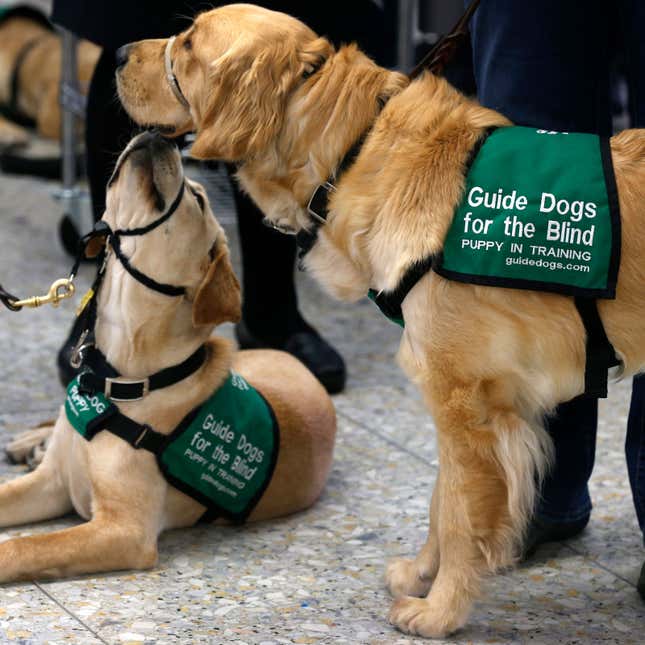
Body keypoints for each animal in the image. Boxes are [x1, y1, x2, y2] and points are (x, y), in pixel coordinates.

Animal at [1, 128, 338, 580]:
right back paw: (29, 441)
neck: (119, 377)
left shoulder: (124, 530)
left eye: (197, 198)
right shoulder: (50, 483)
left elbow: (28, 547)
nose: (160, 133)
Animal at [115, 3, 644, 640]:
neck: (351, 153)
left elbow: (462, 517)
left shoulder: (467, 405)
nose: (116, 54)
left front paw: (441, 612)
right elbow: (443, 504)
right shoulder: (463, 402)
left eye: (190, 45)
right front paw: (422, 576)